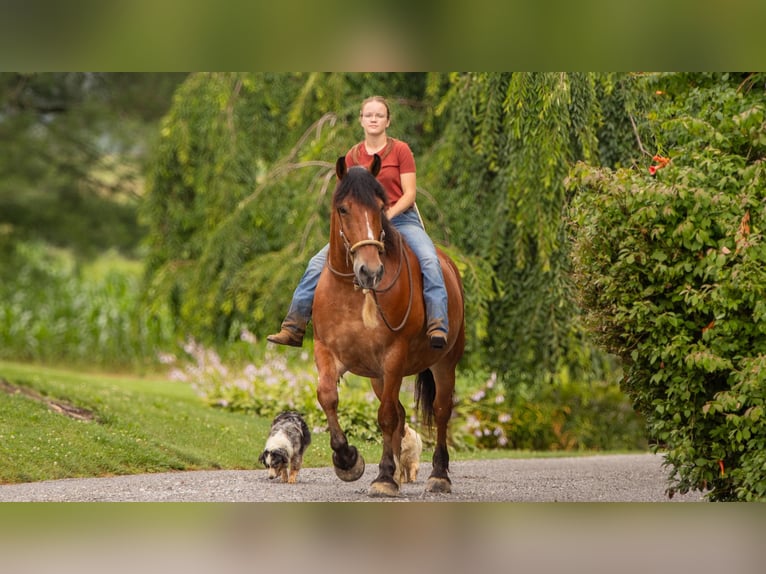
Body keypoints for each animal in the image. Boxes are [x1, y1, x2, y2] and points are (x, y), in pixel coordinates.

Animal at [314, 154, 468, 500]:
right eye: (343, 208)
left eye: (380, 207)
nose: (369, 270)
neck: (353, 294)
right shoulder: (328, 351)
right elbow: (327, 395)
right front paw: (347, 460)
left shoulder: (393, 356)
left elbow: (384, 417)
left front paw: (383, 478)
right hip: (378, 377)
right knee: (400, 414)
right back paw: (400, 471)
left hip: (443, 363)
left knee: (440, 410)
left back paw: (439, 475)